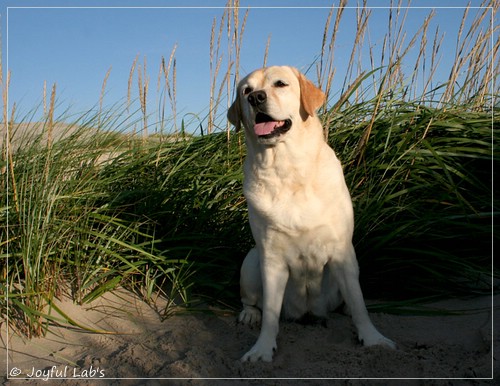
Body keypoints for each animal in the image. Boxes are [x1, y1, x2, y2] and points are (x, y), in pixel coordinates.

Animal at [227, 65, 394, 362]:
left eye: (280, 84)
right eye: (246, 91)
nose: (256, 98)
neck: (288, 169)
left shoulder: (342, 250)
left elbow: (359, 303)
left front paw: (373, 339)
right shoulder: (271, 257)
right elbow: (270, 314)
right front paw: (261, 349)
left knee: (350, 299)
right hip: (252, 260)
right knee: (252, 301)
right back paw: (249, 315)